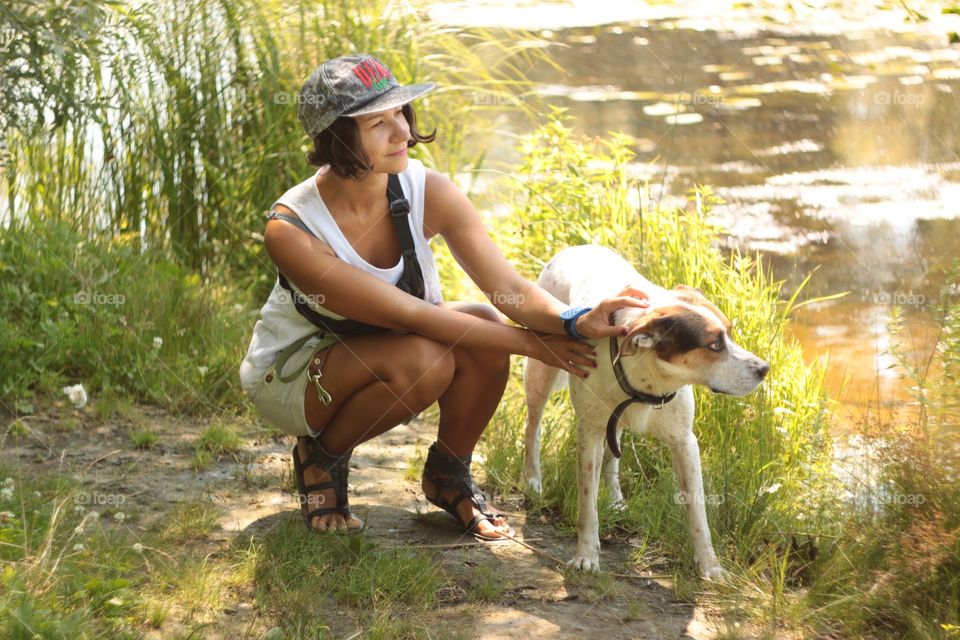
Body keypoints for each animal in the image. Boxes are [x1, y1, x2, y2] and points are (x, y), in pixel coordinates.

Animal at [520, 245, 768, 580]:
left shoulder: (684, 442)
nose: (764, 369)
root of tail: (579, 247)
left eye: (729, 333)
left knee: (612, 456)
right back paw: (532, 479)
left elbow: (698, 512)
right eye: (714, 344)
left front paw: (709, 566)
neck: (649, 379)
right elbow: (587, 504)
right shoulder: (589, 432)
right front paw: (586, 556)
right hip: (540, 373)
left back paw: (615, 499)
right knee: (533, 425)